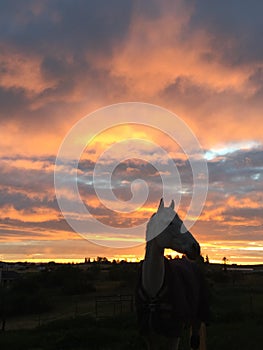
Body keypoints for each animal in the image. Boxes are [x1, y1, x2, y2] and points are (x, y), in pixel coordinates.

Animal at [137, 200, 209, 350]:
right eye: (169, 223)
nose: (196, 247)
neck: (153, 290)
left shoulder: (174, 333)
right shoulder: (148, 336)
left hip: (197, 318)